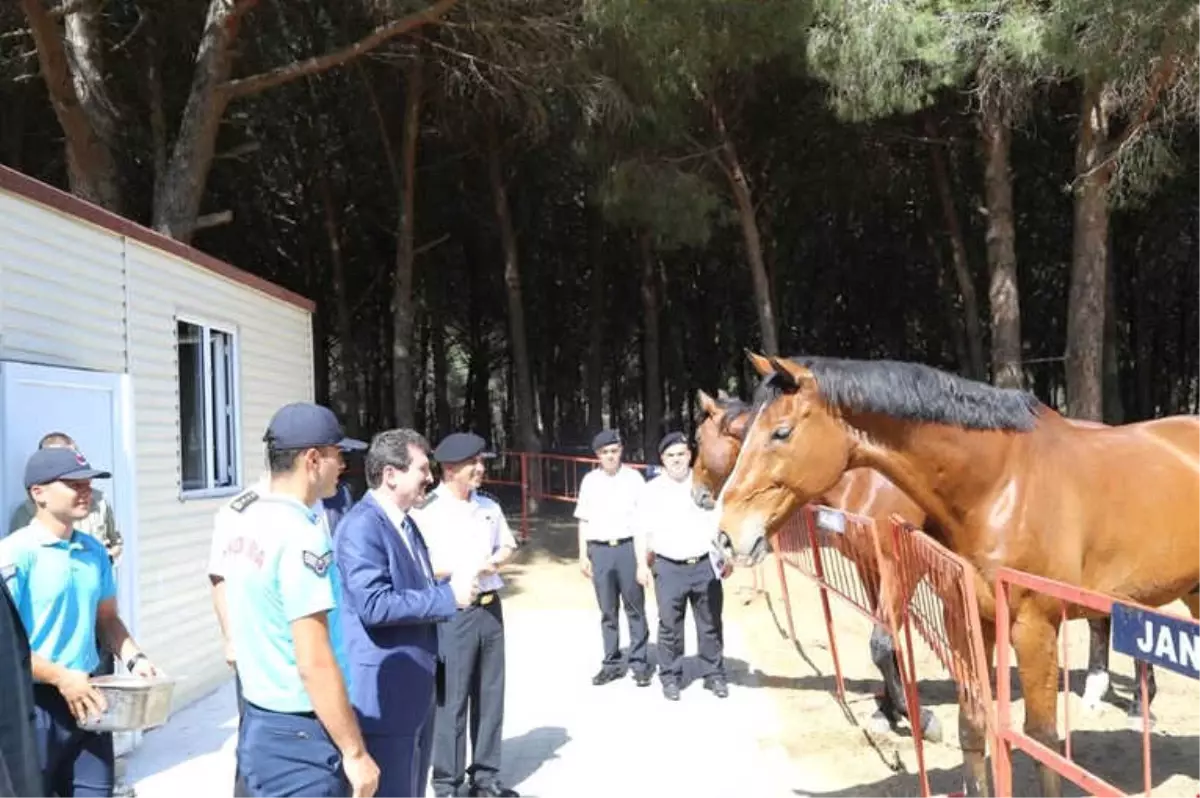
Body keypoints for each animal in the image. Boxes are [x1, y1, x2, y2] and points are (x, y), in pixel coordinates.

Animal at [715, 352, 1200, 796]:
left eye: (781, 432)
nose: (724, 538)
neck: (1002, 484)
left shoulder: (1034, 627)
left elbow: (1041, 741)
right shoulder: (964, 621)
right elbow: (972, 725)